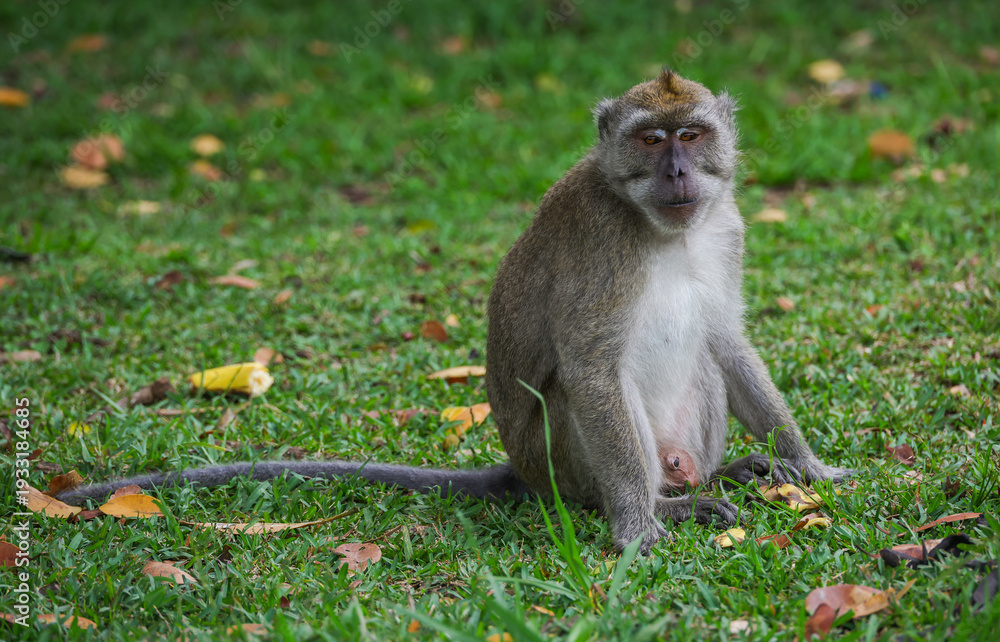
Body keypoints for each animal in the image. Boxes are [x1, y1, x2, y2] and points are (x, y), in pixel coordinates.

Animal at [58, 71, 850, 553]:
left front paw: (805, 462)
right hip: (564, 470)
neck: (663, 229)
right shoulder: (602, 243)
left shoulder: (726, 227)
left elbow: (727, 341)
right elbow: (591, 370)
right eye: (651, 139)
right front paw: (635, 528)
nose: (679, 170)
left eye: (692, 134)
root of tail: (526, 474)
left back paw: (723, 476)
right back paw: (664, 504)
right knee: (573, 397)